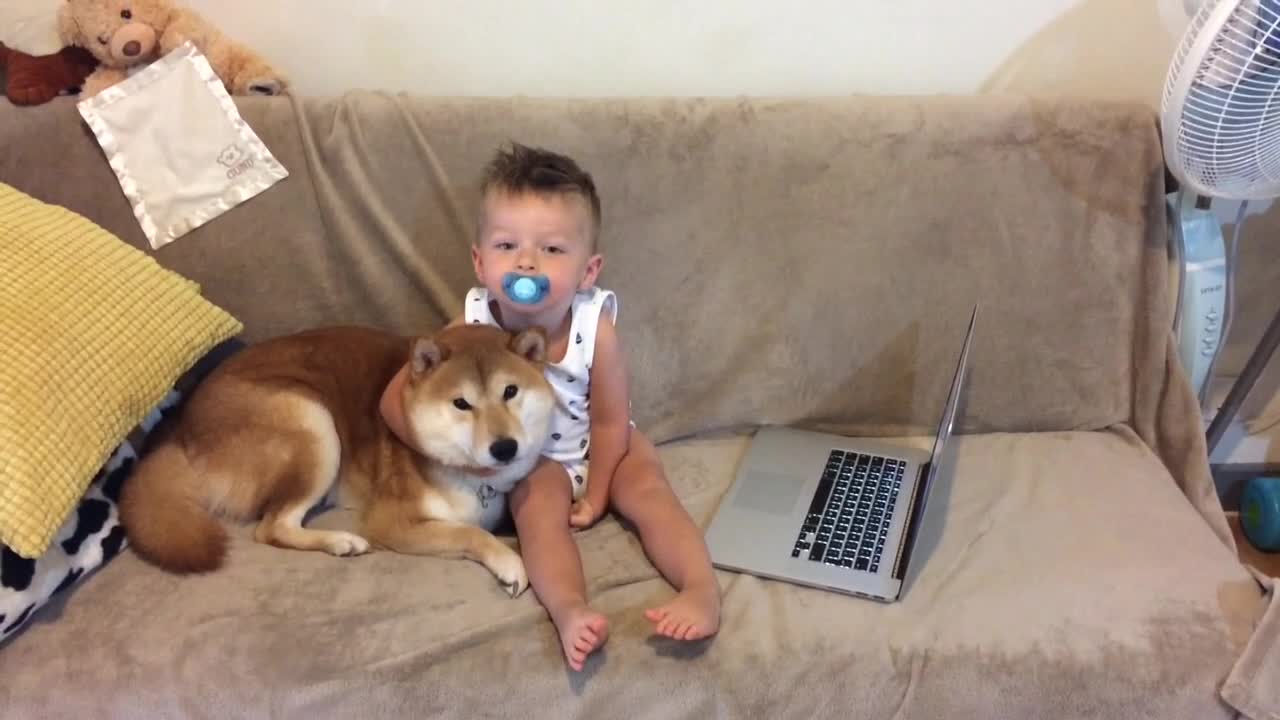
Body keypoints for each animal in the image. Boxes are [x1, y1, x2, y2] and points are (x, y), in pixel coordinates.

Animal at [120, 322, 555, 591]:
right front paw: (509, 562)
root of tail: (181, 429)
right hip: (314, 424)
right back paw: (340, 541)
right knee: (271, 528)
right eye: (461, 404)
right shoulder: (392, 522)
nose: (505, 447)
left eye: (511, 392)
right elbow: (470, 533)